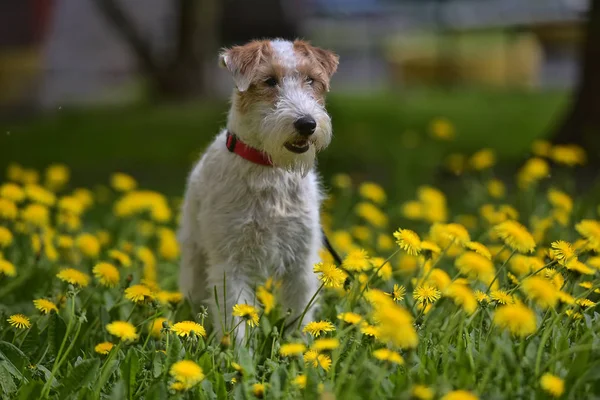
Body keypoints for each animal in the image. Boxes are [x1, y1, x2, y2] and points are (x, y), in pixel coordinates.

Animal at [177, 37, 338, 340]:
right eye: (270, 81)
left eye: (311, 79)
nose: (307, 123)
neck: (270, 169)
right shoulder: (230, 263)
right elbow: (236, 320)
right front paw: (237, 351)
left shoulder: (301, 260)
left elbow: (300, 316)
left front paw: (301, 348)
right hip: (195, 258)